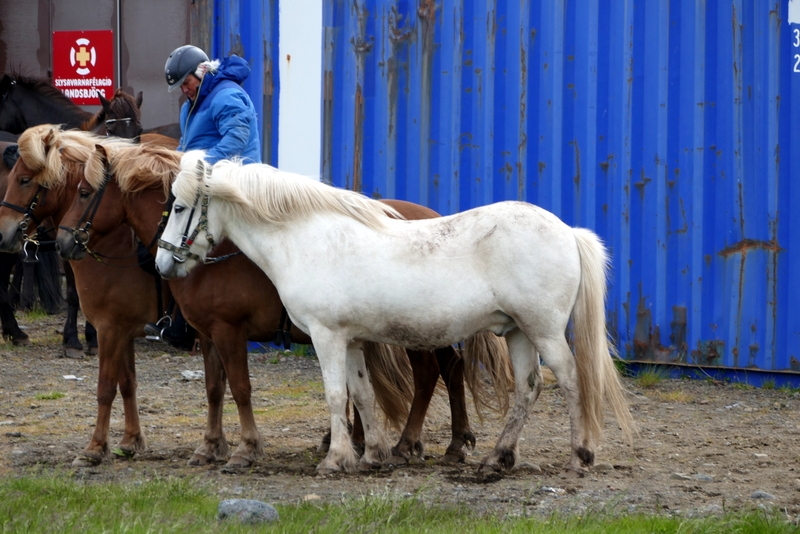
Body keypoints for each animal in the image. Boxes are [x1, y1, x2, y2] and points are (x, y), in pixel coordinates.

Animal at [3, 124, 510, 468]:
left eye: (26, 180)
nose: (63, 243)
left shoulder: (144, 327)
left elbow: (121, 386)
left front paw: (97, 449)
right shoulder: (190, 331)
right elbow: (200, 388)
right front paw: (196, 446)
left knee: (436, 372)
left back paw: (415, 443)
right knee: (444, 370)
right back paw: (436, 442)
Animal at [153, 153, 636, 476]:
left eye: (178, 208)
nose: (162, 264)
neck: (304, 238)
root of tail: (567, 231)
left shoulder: (327, 338)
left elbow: (335, 396)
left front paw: (335, 459)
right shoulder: (349, 340)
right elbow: (362, 394)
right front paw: (373, 455)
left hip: (544, 330)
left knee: (570, 380)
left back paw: (579, 456)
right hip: (517, 332)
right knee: (528, 389)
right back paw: (497, 458)